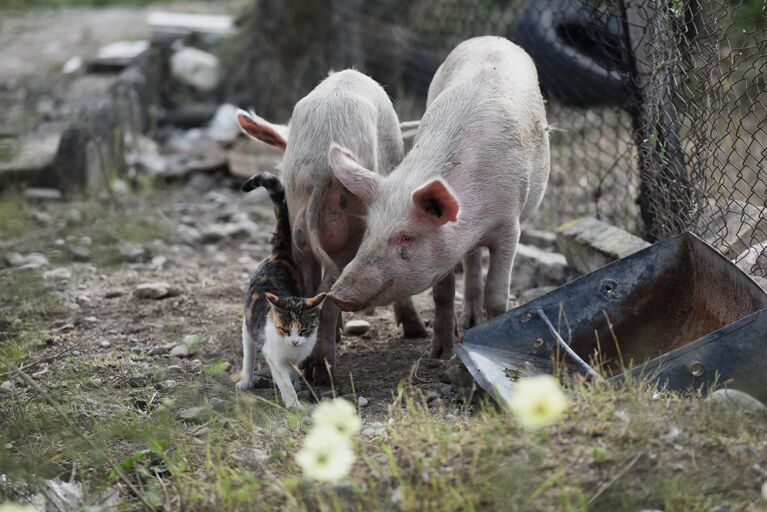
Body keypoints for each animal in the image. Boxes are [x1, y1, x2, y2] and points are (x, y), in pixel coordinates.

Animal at [237, 172, 328, 408]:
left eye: (304, 330)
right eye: (285, 330)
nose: (295, 341)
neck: (291, 351)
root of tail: (280, 255)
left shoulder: (301, 354)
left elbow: (294, 374)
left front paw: (296, 387)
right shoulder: (274, 356)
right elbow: (284, 381)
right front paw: (294, 403)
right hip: (248, 325)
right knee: (248, 351)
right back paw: (246, 380)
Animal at [328, 37, 548, 356]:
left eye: (407, 236)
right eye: (369, 230)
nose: (337, 295)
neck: (474, 222)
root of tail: (492, 38)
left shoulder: (510, 226)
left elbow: (497, 295)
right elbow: (443, 294)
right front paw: (440, 353)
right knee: (471, 261)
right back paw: (468, 322)